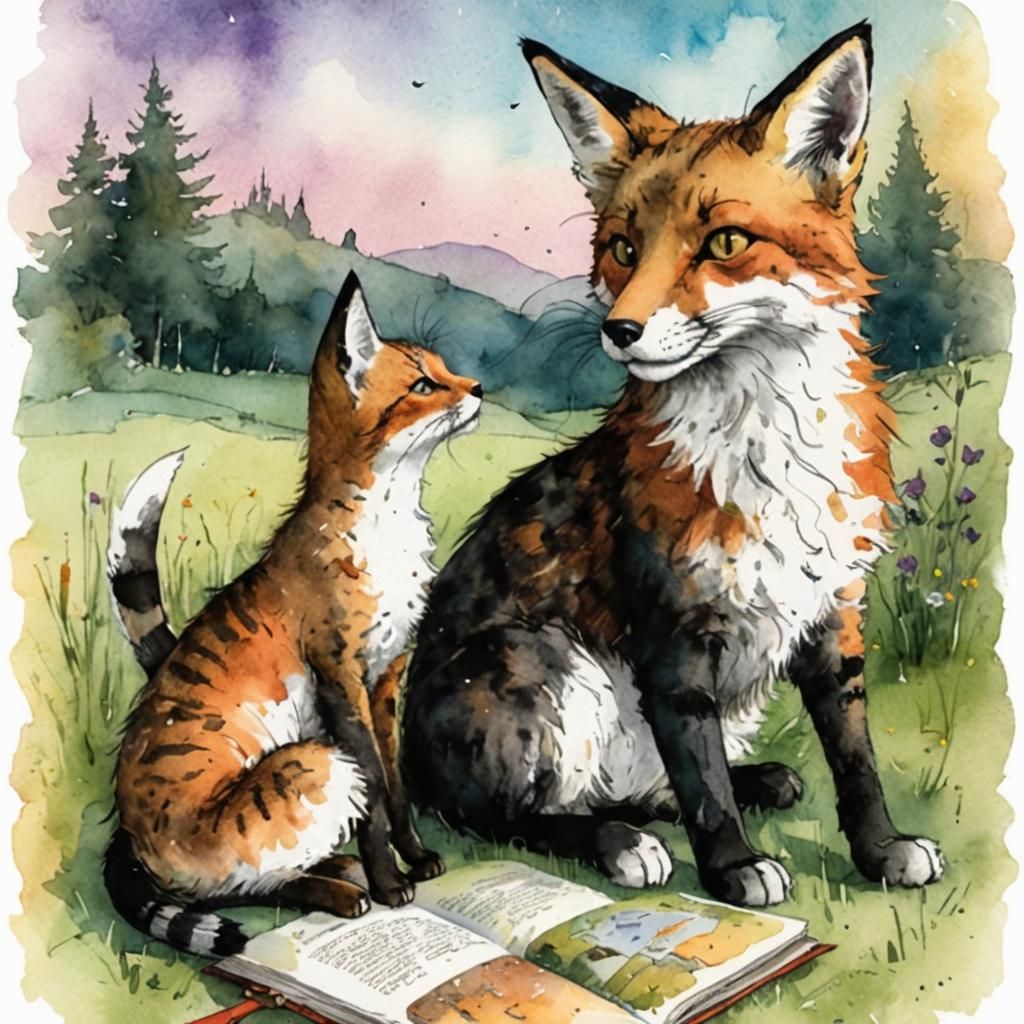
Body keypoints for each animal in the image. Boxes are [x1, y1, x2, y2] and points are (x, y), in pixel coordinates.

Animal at [104, 272, 482, 955]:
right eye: (422, 385)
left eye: (444, 369)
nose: (479, 389)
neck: (383, 536)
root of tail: (131, 835)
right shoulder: (340, 682)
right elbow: (376, 803)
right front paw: (393, 885)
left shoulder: (386, 679)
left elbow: (396, 790)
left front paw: (417, 859)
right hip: (314, 763)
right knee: (237, 889)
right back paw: (342, 890)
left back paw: (340, 869)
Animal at [401, 24, 944, 907]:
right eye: (624, 249)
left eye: (724, 242)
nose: (618, 331)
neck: (767, 456)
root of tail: (404, 762)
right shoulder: (673, 640)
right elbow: (702, 781)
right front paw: (731, 870)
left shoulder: (835, 615)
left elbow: (853, 760)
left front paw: (880, 850)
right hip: (549, 667)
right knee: (511, 818)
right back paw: (617, 842)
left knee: (650, 789)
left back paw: (756, 783)